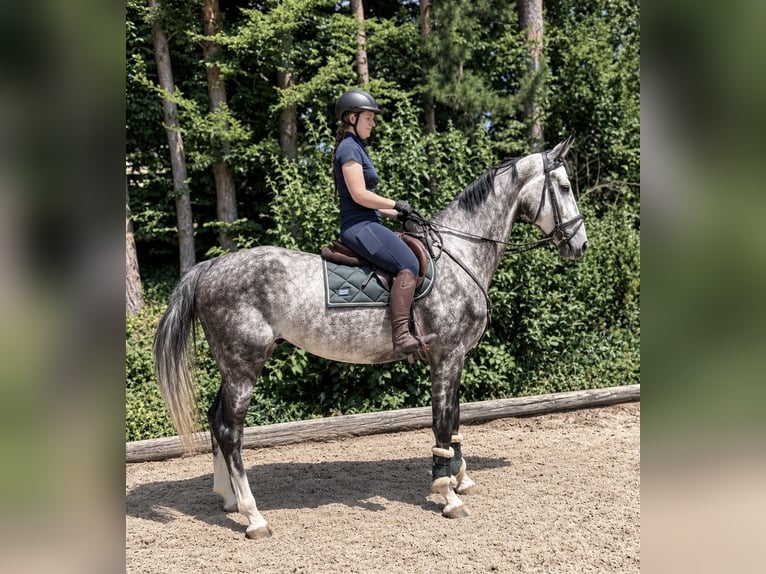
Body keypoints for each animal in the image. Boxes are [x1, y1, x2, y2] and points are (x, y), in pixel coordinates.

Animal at [153, 139, 588, 539]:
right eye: (565, 186)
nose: (579, 245)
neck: (459, 254)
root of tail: (208, 268)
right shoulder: (446, 355)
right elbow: (441, 420)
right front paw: (447, 493)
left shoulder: (457, 357)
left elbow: (455, 417)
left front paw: (460, 477)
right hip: (244, 365)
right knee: (231, 432)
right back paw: (253, 515)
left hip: (233, 366)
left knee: (216, 420)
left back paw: (227, 497)